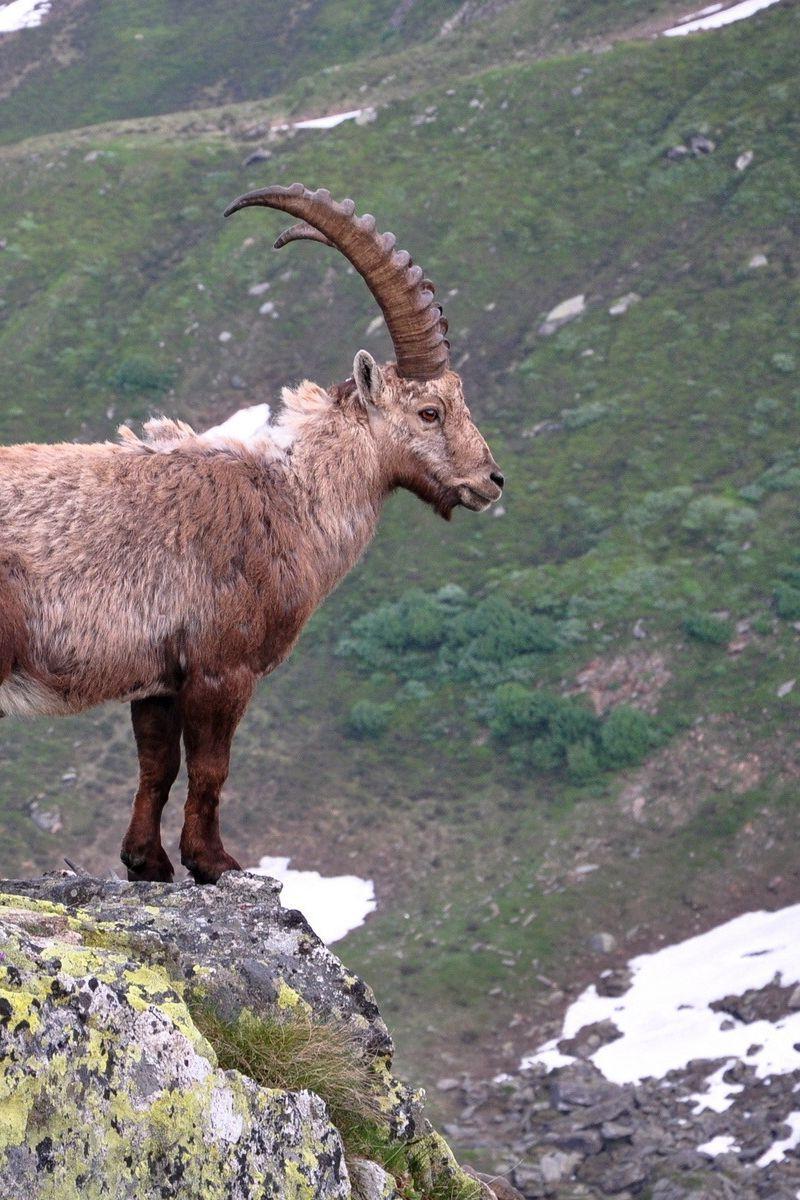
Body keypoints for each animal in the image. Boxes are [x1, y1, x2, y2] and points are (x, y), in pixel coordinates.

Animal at [0, 184, 504, 884]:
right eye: (430, 411)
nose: (491, 480)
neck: (289, 500)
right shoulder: (223, 667)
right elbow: (212, 768)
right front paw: (214, 862)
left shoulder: (158, 678)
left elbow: (157, 766)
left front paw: (147, 862)